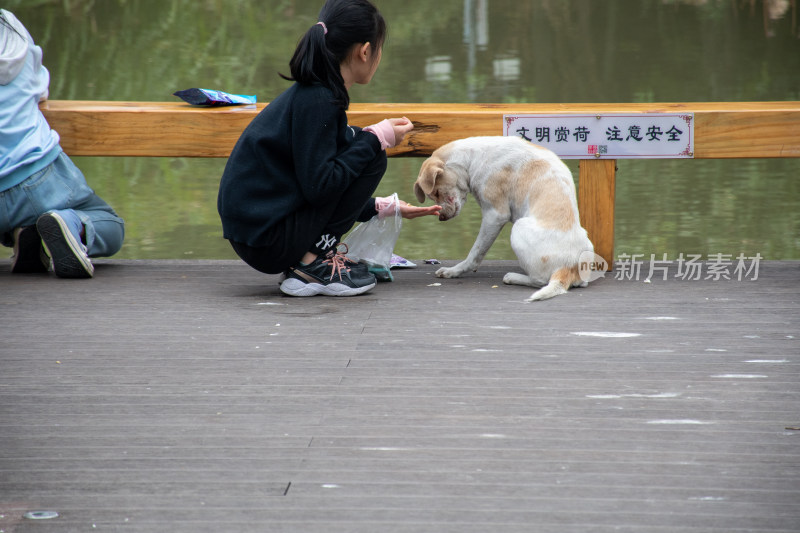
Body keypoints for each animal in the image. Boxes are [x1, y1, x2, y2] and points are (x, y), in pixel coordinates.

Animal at [416, 135, 592, 302]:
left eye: (436, 192)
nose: (441, 218)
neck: (472, 158)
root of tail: (567, 267)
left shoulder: (494, 215)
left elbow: (475, 253)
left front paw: (453, 271)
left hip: (518, 228)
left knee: (540, 280)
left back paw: (512, 277)